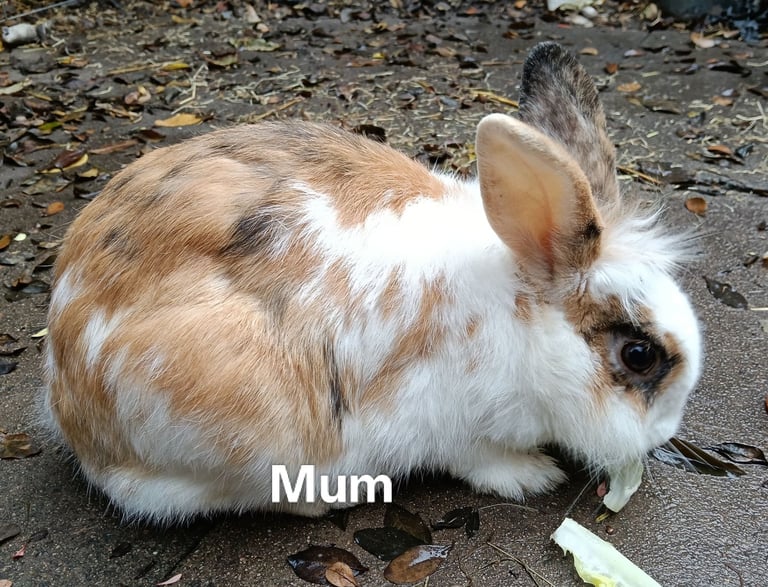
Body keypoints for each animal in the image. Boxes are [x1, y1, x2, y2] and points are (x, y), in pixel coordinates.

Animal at [41, 42, 702, 523]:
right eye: (639, 355)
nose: (664, 434)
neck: (515, 312)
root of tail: (68, 405)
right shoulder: (449, 425)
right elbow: (480, 459)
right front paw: (533, 475)